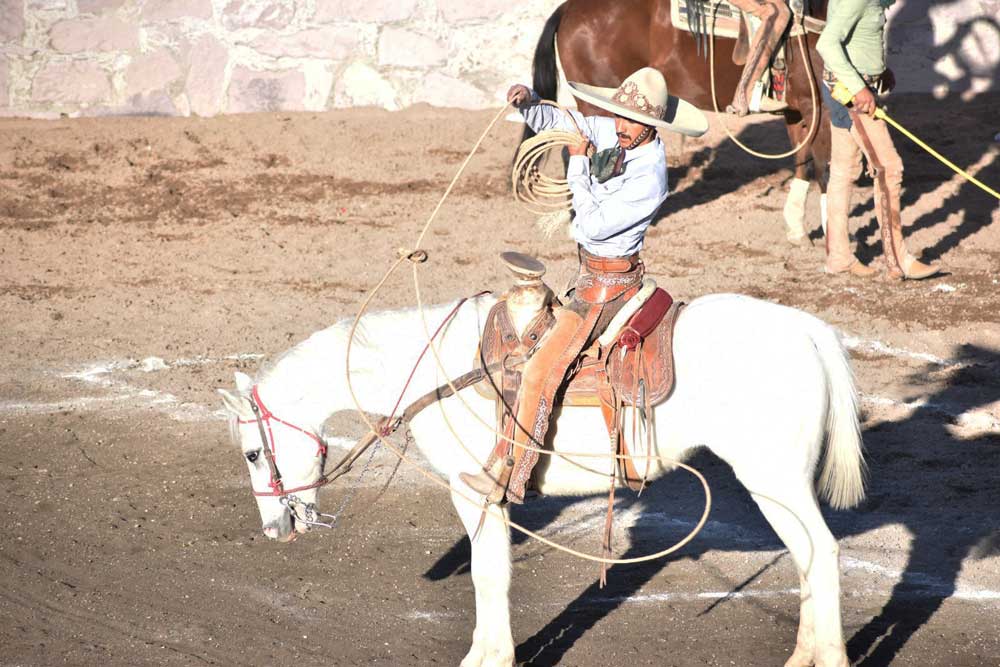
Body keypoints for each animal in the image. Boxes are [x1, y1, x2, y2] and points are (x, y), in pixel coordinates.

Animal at [219, 294, 868, 667]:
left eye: (251, 453)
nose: (275, 528)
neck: (431, 370)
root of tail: (810, 331)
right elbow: (493, 573)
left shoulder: (473, 492)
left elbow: (487, 575)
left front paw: (487, 657)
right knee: (807, 558)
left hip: (774, 480)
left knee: (822, 553)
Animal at [528, 0, 832, 240]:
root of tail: (569, 8)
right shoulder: (819, 106)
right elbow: (825, 168)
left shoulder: (798, 110)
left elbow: (803, 162)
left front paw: (797, 229)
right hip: (597, 101)